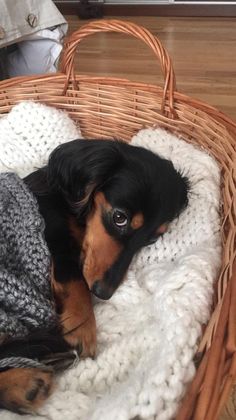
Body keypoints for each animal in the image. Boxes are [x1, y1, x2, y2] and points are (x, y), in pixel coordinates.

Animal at [0, 139, 189, 414]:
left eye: (152, 239)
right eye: (120, 217)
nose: (104, 292)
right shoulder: (53, 236)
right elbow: (74, 279)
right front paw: (83, 328)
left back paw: (23, 386)